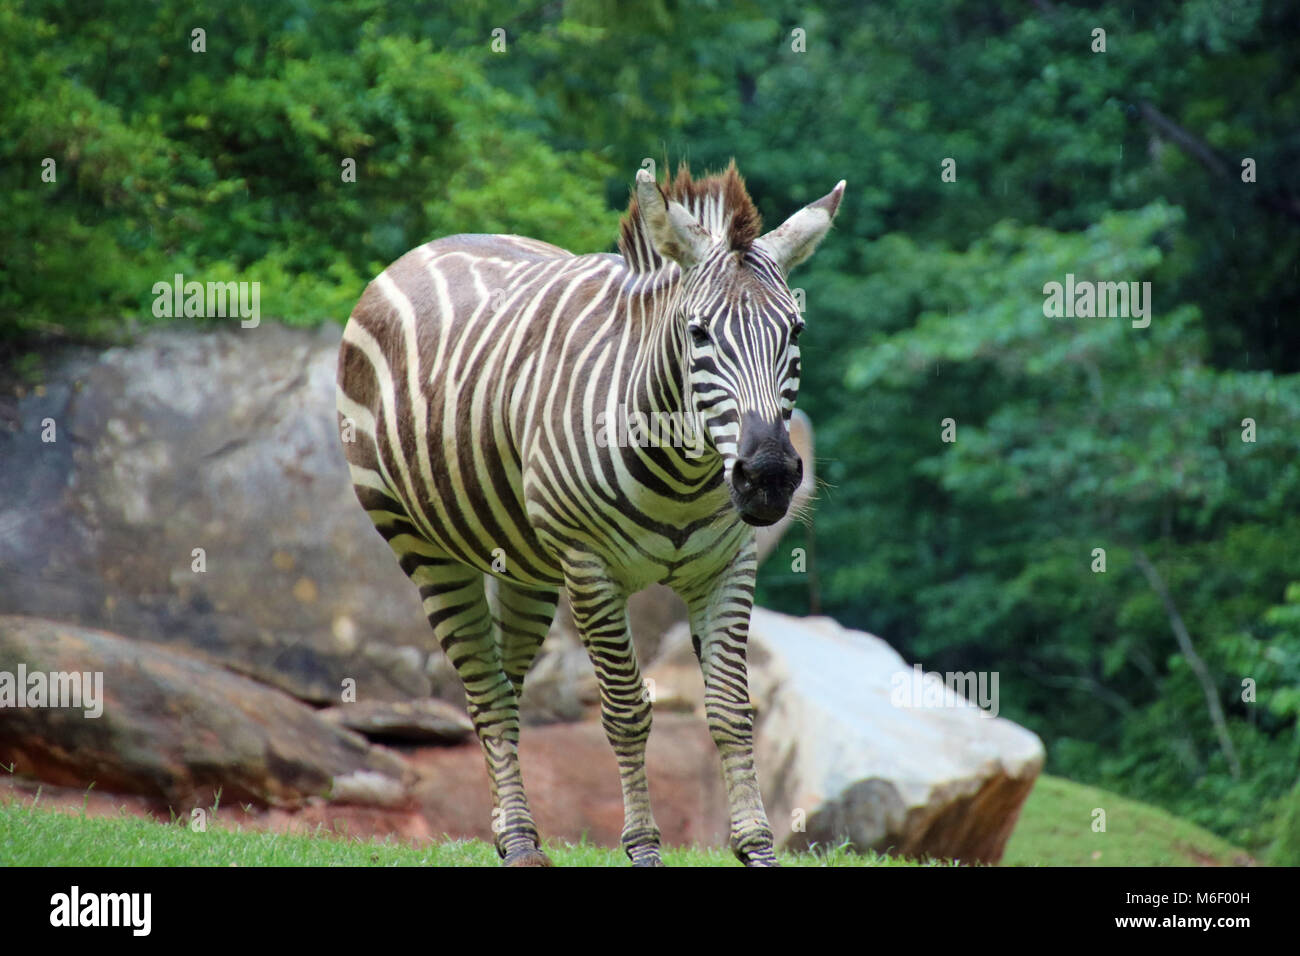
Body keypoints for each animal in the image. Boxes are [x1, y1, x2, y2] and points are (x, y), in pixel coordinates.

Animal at [336, 162, 844, 866]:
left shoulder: (728, 566)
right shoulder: (592, 569)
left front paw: (756, 849)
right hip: (424, 546)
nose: (768, 475)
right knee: (484, 690)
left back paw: (509, 829)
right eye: (698, 333)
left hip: (524, 566)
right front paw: (645, 849)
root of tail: (422, 250)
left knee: (505, 685)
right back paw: (520, 842)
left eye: (795, 332)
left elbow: (730, 712)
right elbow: (627, 711)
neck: (685, 475)